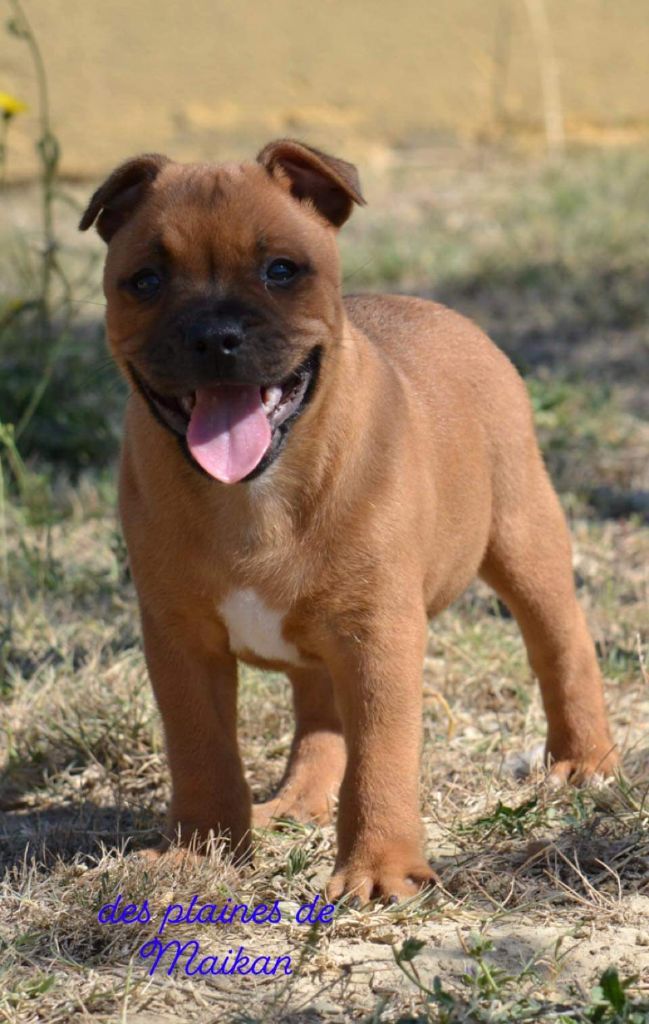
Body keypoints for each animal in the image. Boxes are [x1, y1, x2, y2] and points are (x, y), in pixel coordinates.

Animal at [80, 140, 618, 901]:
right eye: (146, 281)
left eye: (281, 270)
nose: (215, 335)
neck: (255, 490)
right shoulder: (180, 641)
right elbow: (200, 750)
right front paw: (202, 851)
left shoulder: (378, 636)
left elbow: (380, 755)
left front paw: (379, 866)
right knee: (318, 713)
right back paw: (297, 801)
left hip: (524, 535)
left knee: (561, 646)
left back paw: (585, 760)